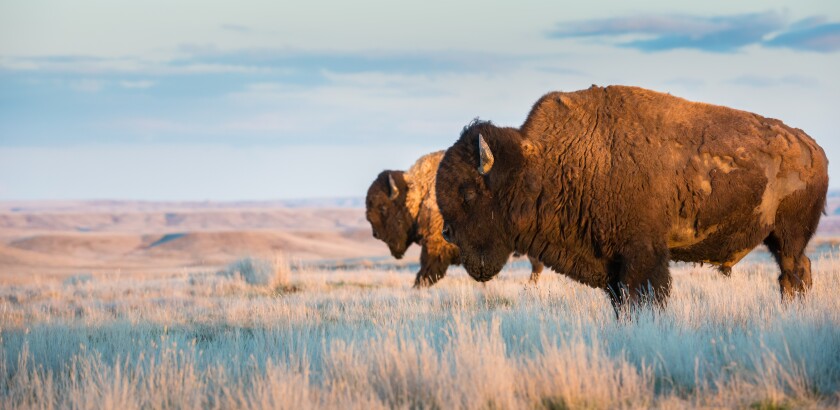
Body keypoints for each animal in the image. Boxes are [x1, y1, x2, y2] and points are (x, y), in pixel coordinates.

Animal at [436, 85, 832, 310]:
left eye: (468, 191)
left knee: (794, 272)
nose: (447, 234)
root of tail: (814, 148)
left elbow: (647, 296)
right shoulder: (611, 264)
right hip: (781, 239)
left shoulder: (642, 256)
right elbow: (621, 303)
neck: (542, 164)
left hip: (788, 235)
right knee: (795, 272)